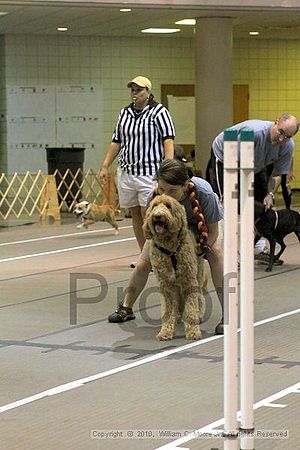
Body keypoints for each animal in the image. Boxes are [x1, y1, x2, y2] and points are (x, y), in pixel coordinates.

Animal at [142, 194, 204, 342]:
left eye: (168, 206)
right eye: (154, 206)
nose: (158, 216)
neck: (170, 251)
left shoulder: (189, 281)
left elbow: (191, 307)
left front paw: (193, 331)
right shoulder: (166, 285)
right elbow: (169, 310)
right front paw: (165, 331)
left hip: (198, 273)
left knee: (199, 296)